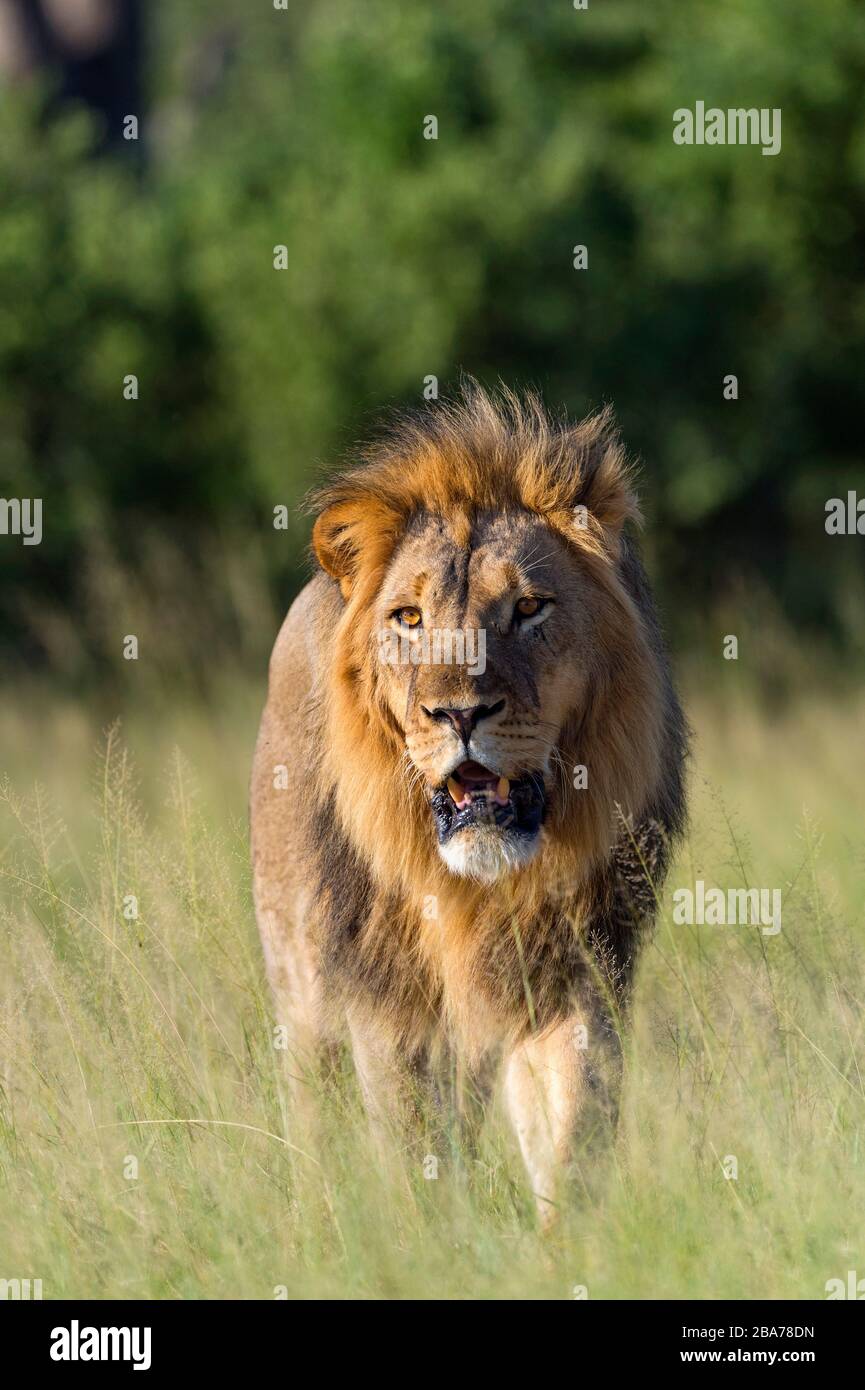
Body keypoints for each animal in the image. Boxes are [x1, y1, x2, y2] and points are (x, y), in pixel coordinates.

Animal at [250, 380, 692, 1217]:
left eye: (528, 608)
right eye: (409, 619)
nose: (458, 714)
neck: (480, 889)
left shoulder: (577, 976)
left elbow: (572, 1143)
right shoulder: (387, 1001)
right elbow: (414, 1155)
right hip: (304, 991)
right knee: (312, 1118)